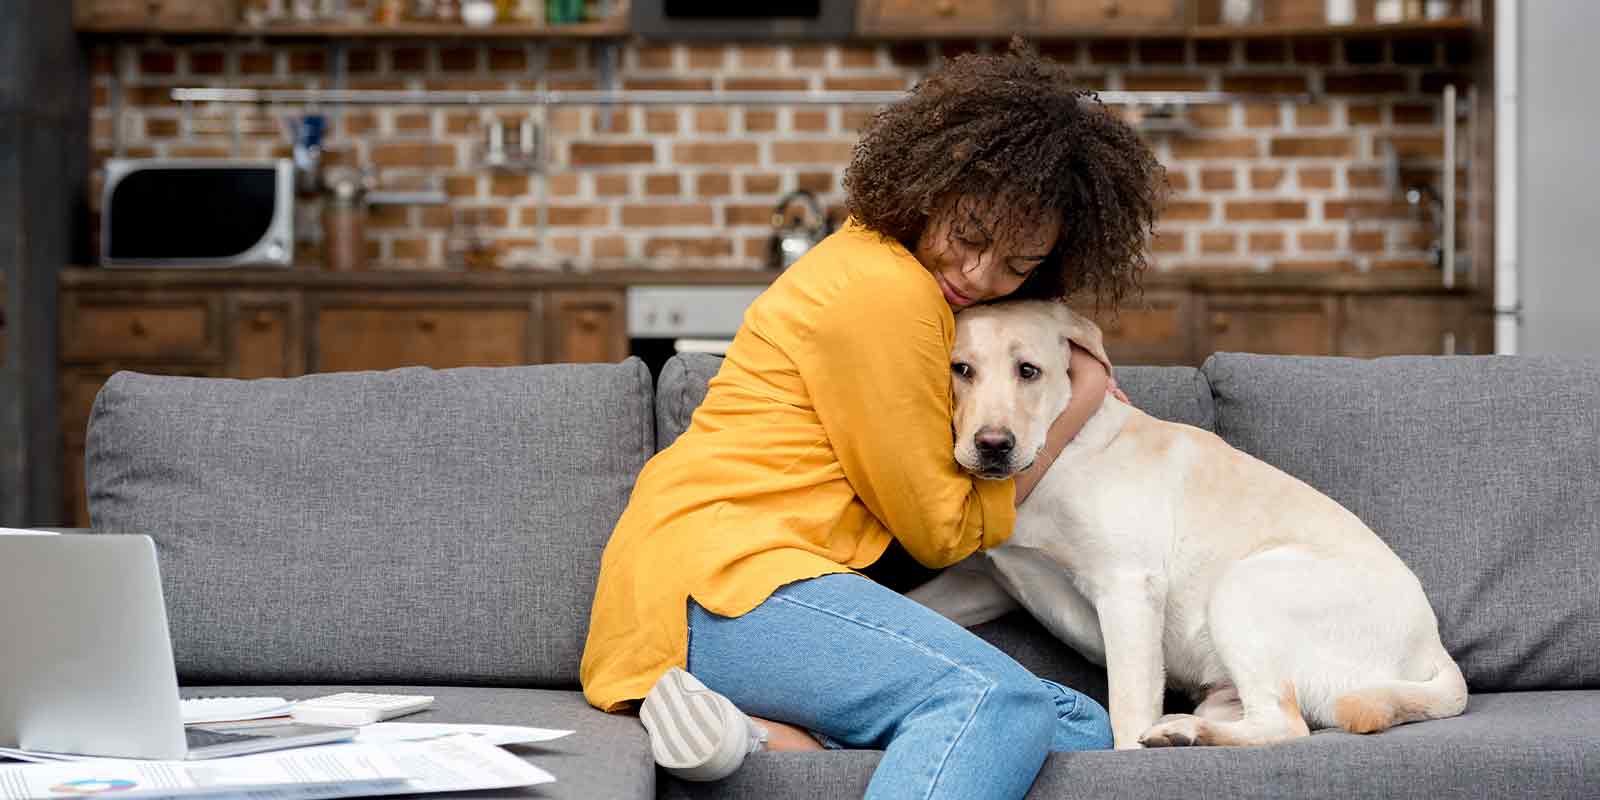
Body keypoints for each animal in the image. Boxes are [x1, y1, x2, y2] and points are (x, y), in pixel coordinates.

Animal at [908, 299, 1465, 748]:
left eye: (1029, 371)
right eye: (960, 369)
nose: (993, 445)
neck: (1056, 454)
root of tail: (1435, 649)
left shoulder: (1128, 590)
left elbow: (1127, 710)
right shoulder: (982, 582)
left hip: (1245, 587)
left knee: (1285, 724)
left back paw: (1182, 733)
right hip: (1225, 680)